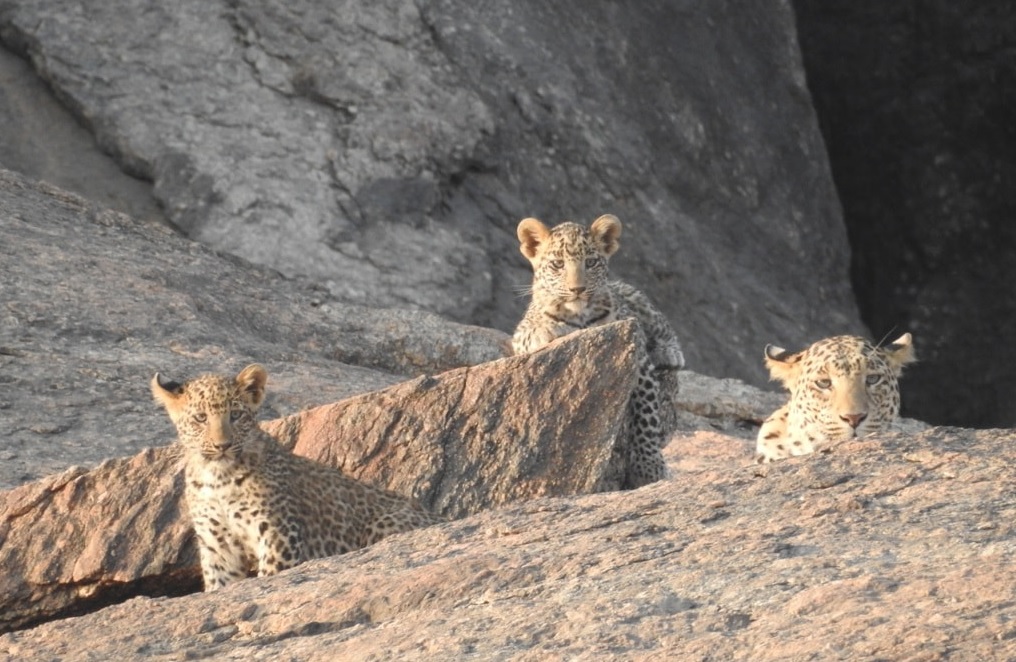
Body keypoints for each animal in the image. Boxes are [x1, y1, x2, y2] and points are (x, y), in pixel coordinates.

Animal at [151, 365, 440, 592]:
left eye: (236, 415)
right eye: (201, 418)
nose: (223, 445)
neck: (217, 478)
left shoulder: (279, 534)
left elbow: (270, 576)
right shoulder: (218, 546)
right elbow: (218, 586)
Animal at [512, 214, 686, 489]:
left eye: (591, 262)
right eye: (558, 264)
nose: (577, 289)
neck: (580, 316)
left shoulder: (638, 355)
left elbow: (647, 414)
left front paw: (649, 466)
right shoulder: (520, 334)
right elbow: (533, 330)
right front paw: (547, 330)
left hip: (632, 295)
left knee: (659, 322)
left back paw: (669, 352)